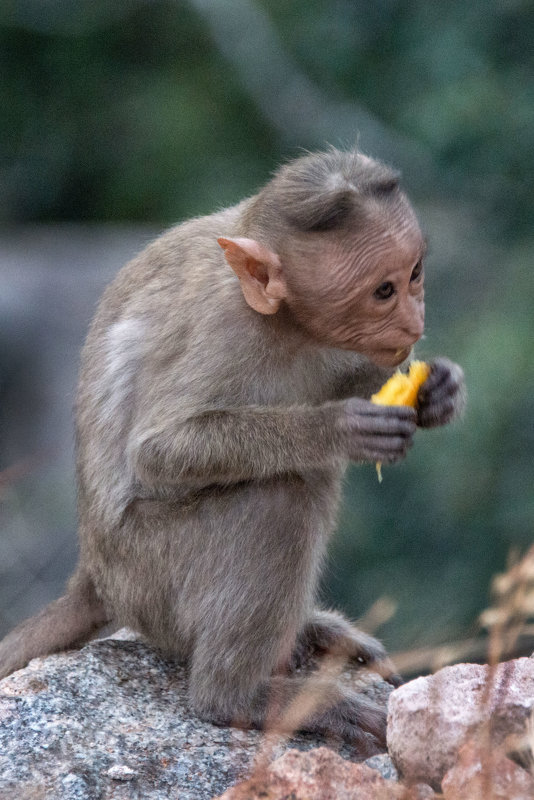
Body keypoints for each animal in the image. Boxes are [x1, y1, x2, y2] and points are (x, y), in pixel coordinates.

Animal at [0, 147, 464, 752]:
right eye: (382, 291)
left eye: (414, 274)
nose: (414, 321)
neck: (284, 321)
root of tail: (96, 575)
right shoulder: (224, 329)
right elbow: (158, 449)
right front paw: (334, 427)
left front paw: (436, 392)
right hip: (151, 573)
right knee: (281, 496)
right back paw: (239, 697)